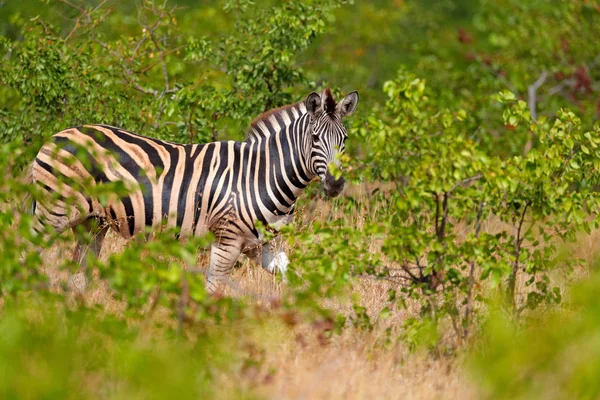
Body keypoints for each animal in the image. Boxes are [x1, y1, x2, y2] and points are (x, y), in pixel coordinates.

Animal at [30, 89, 358, 292]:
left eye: (344, 139)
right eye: (315, 138)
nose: (335, 184)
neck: (262, 175)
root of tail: (56, 135)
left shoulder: (263, 245)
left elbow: (294, 280)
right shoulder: (227, 240)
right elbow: (212, 290)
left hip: (92, 223)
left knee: (77, 272)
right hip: (53, 212)